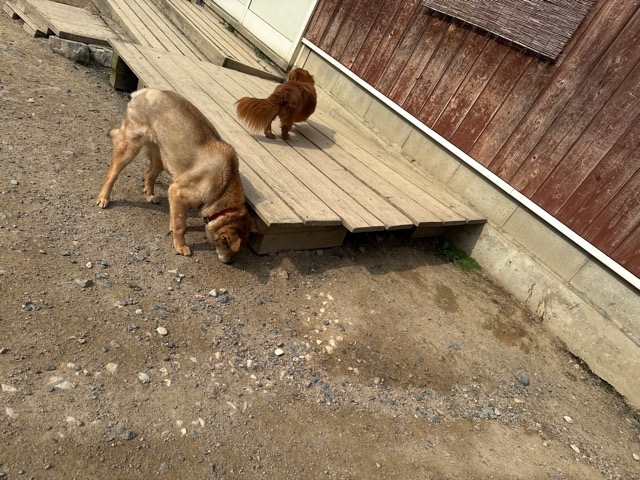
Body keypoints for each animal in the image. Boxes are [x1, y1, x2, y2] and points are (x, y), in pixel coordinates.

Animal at [96, 88, 256, 263]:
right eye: (226, 244)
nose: (229, 262)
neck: (223, 189)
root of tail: (142, 92)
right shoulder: (177, 192)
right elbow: (181, 225)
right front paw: (180, 245)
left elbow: (176, 218)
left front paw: (172, 228)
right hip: (129, 148)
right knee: (112, 174)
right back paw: (104, 198)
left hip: (161, 157)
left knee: (149, 174)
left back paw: (150, 195)